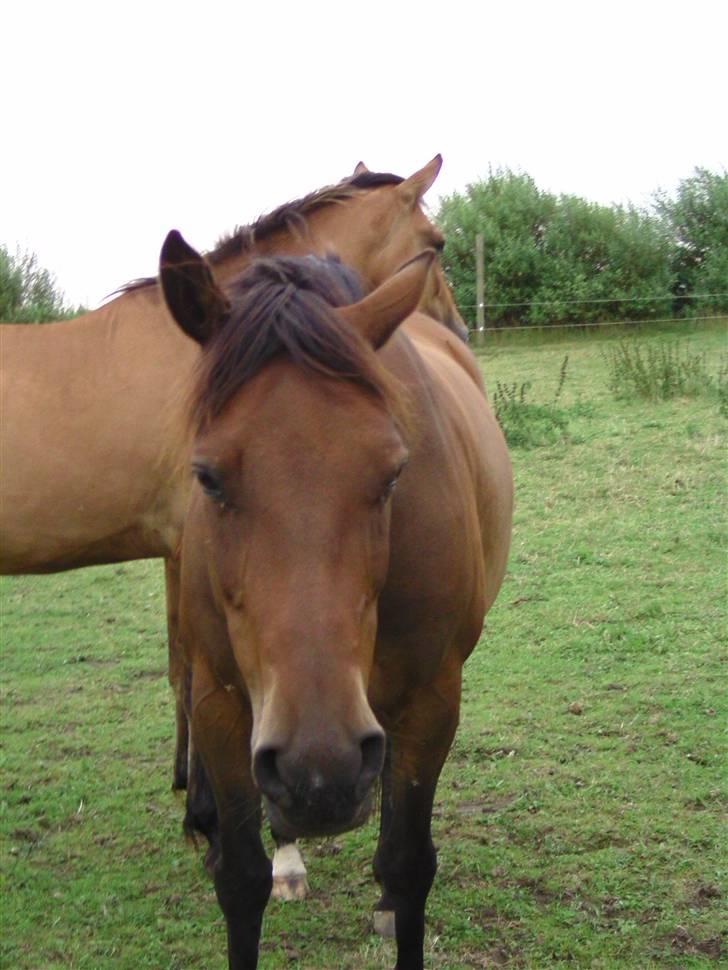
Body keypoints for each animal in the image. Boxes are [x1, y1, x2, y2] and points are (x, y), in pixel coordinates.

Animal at [0, 157, 466, 832]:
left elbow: (180, 670)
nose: (460, 332)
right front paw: (205, 807)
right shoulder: (190, 548)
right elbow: (193, 673)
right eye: (437, 244)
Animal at [159, 229, 512, 968]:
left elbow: (406, 864)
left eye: (394, 473)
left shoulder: (431, 700)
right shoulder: (218, 703)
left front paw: (392, 903)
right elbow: (240, 879)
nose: (319, 770)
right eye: (207, 477)